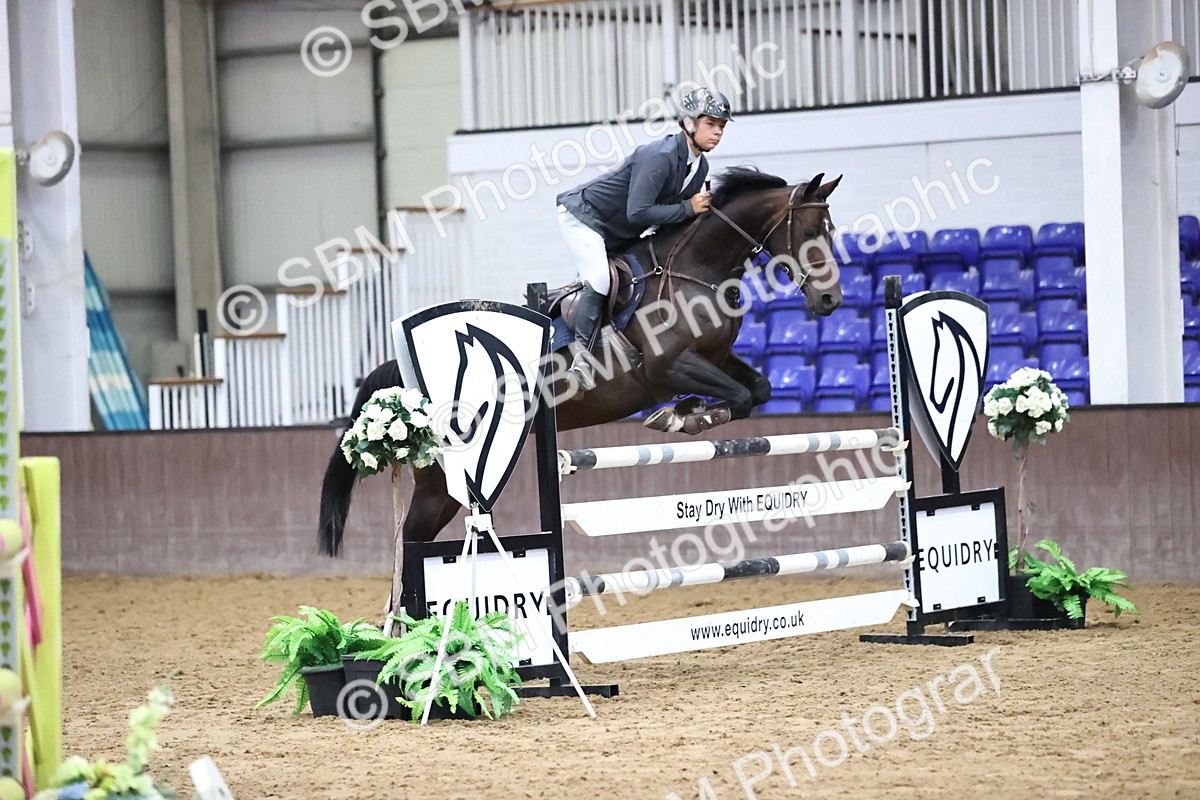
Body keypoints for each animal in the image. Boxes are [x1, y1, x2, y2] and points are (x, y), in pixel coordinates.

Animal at [319, 167, 844, 557]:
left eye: (832, 232)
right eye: (810, 232)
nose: (831, 301)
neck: (696, 269)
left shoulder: (716, 357)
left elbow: (756, 391)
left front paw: (689, 412)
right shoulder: (667, 368)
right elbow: (733, 395)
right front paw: (684, 417)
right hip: (440, 480)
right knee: (410, 541)